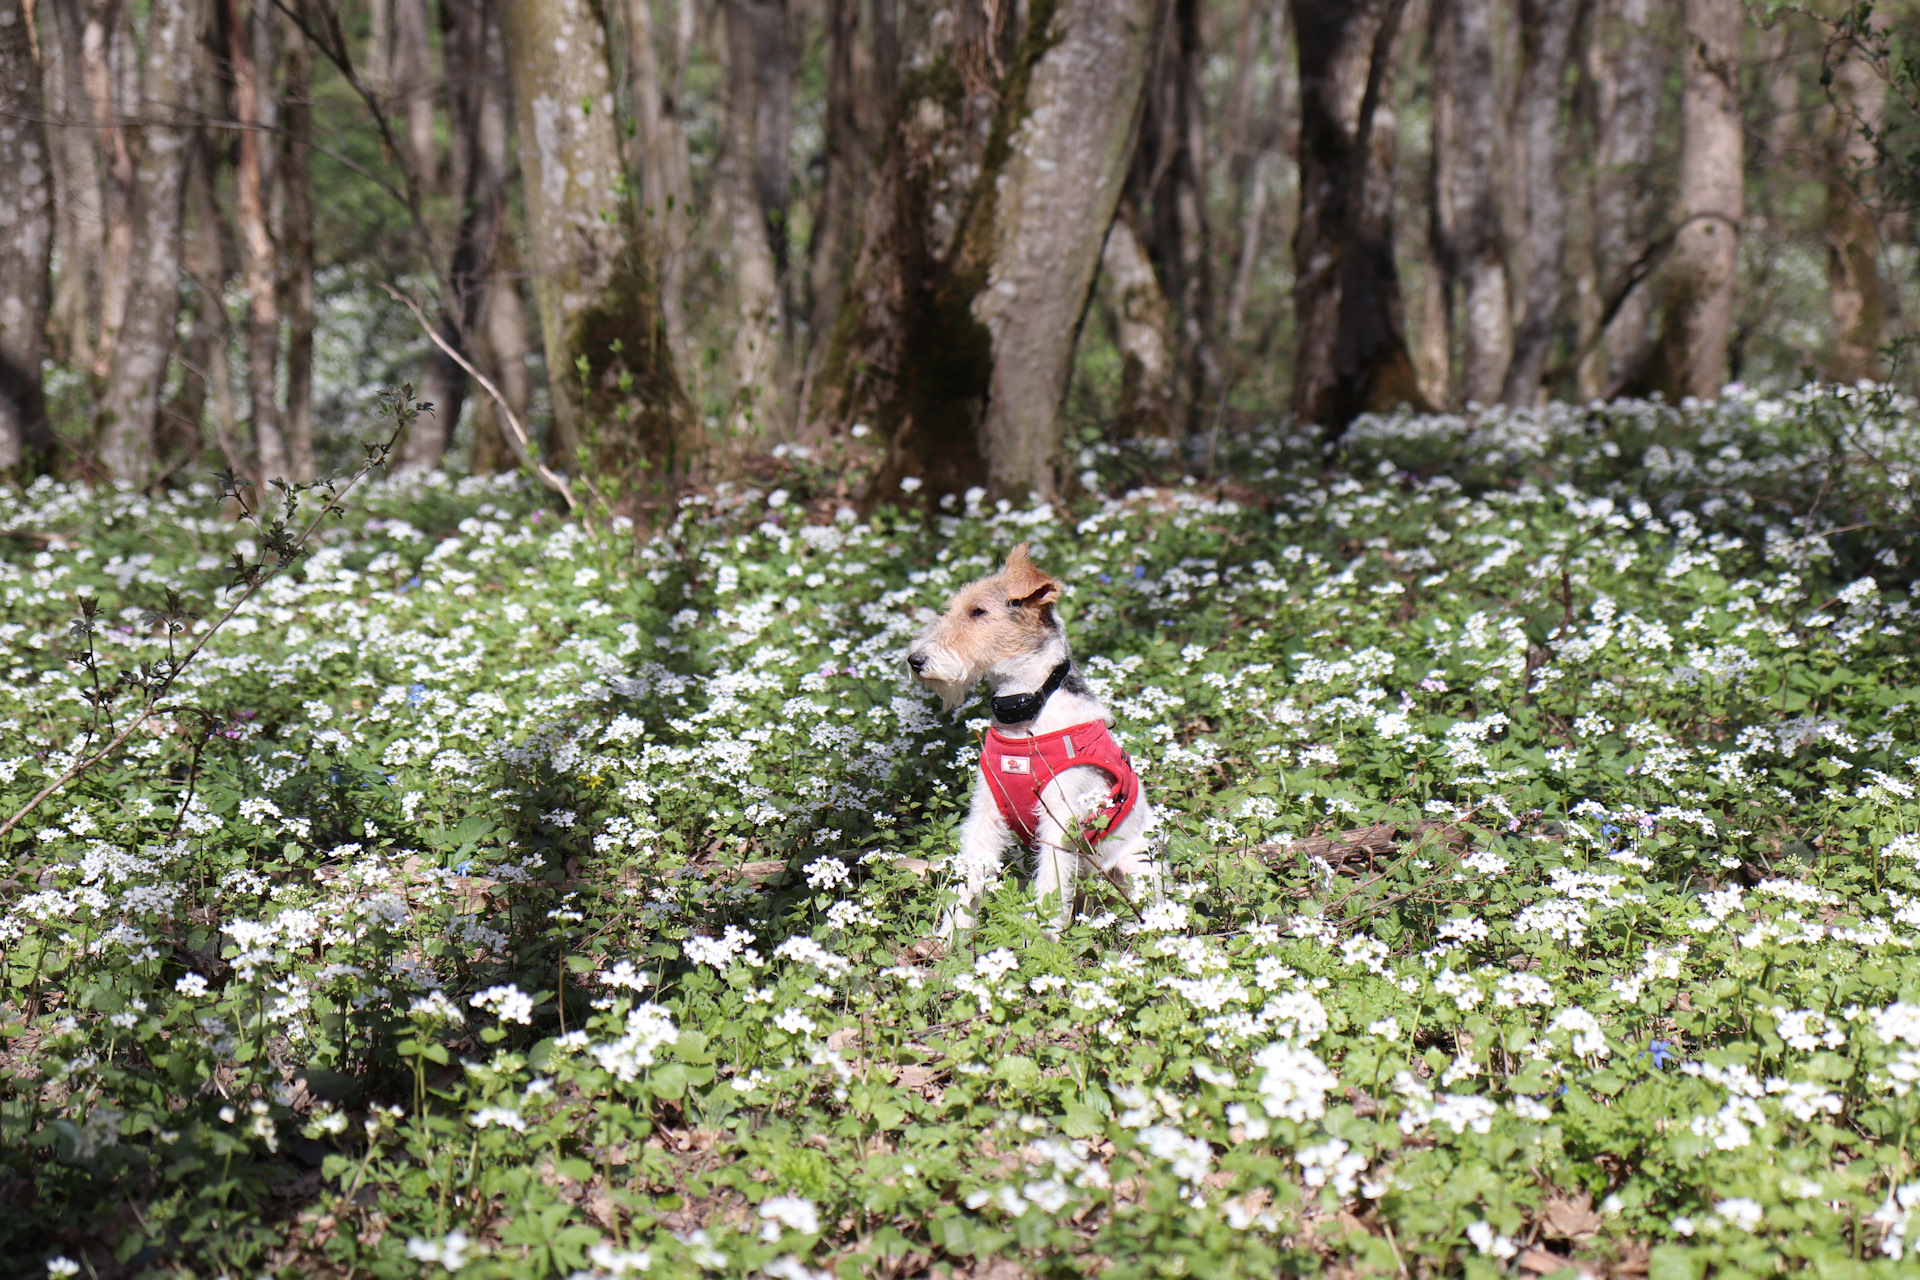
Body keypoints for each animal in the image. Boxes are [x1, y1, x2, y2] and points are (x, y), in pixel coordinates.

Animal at [906, 537, 1159, 936]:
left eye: (978, 612)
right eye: (952, 609)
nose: (915, 660)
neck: (1027, 710)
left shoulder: (1059, 821)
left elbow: (1050, 888)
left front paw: (1041, 939)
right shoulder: (985, 814)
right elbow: (969, 881)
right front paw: (948, 940)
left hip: (1135, 867)